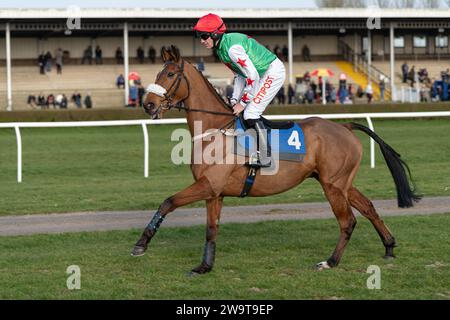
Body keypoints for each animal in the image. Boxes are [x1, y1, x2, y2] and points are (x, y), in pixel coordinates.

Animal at [132, 45, 420, 274]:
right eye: (157, 74)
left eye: (169, 74)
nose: (148, 104)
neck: (215, 130)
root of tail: (345, 127)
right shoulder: (215, 193)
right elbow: (211, 229)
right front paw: (205, 266)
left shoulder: (208, 185)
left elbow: (168, 202)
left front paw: (141, 244)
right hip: (342, 183)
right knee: (368, 207)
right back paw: (389, 246)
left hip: (333, 185)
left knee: (347, 221)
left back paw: (330, 261)